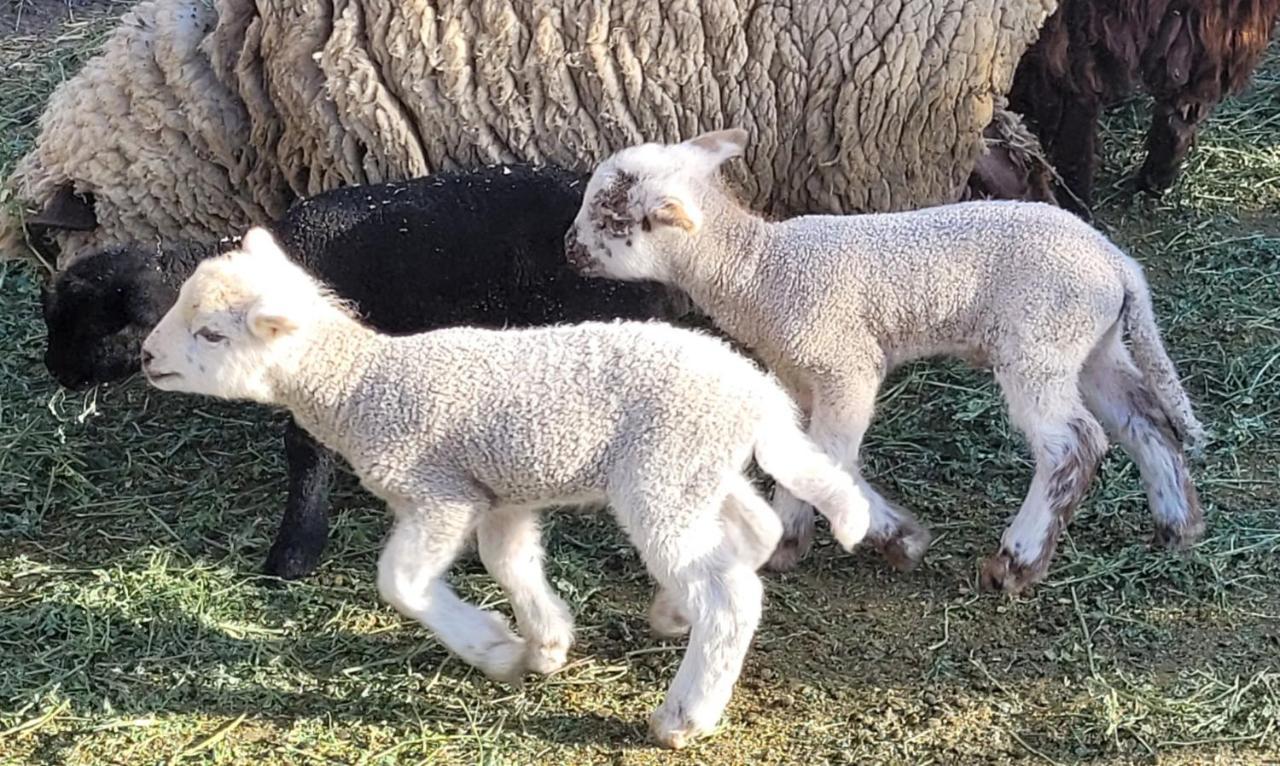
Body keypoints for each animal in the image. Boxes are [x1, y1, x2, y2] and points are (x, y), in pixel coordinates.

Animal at [140, 230, 875, 753]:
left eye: (211, 333)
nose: (146, 355)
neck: (359, 387)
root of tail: (757, 392)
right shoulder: (499, 494)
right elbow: (510, 561)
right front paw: (544, 644)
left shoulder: (439, 491)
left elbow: (399, 580)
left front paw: (489, 648)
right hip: (699, 469)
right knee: (752, 533)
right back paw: (673, 612)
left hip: (662, 471)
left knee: (731, 595)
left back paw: (685, 713)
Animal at [565, 129, 1203, 596]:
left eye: (614, 217)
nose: (568, 249)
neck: (759, 271)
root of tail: (1119, 265)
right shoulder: (799, 376)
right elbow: (803, 454)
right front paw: (795, 539)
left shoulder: (844, 362)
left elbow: (830, 456)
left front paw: (890, 540)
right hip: (1091, 344)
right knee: (1144, 418)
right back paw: (1178, 526)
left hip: (1038, 341)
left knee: (1073, 443)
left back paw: (1016, 562)